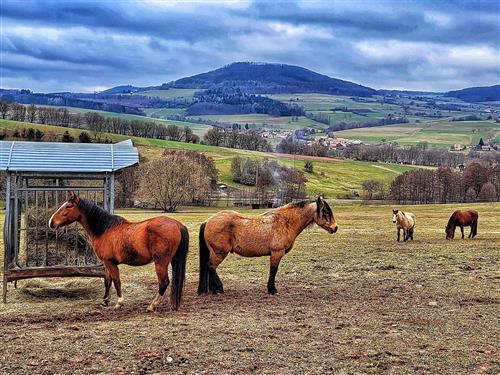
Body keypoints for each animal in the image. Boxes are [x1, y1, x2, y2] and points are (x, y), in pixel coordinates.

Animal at [49, 191, 188, 312]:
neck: (105, 229)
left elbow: (116, 281)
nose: (51, 222)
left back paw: (152, 305)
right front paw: (105, 300)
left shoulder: (110, 262)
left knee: (163, 282)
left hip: (161, 262)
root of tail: (177, 225)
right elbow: (107, 281)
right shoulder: (106, 263)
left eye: (68, 206)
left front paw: (119, 303)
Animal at [197, 197, 338, 296]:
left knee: (209, 267)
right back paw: (219, 288)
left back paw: (213, 290)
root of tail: (208, 221)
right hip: (220, 253)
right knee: (211, 266)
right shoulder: (277, 253)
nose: (335, 227)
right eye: (325, 211)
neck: (285, 222)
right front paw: (272, 289)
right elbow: (273, 271)